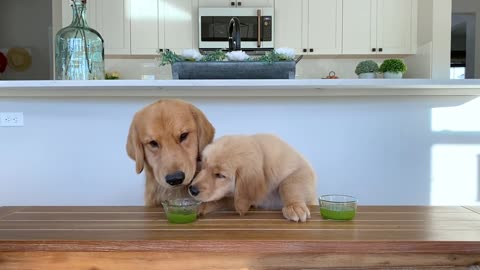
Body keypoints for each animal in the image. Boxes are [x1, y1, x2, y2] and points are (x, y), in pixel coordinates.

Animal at [188, 134, 318, 223]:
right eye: (204, 166)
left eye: (220, 175)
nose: (192, 189)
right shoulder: (242, 199)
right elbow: (224, 200)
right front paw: (201, 207)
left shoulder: (301, 168)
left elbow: (289, 185)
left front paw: (294, 206)